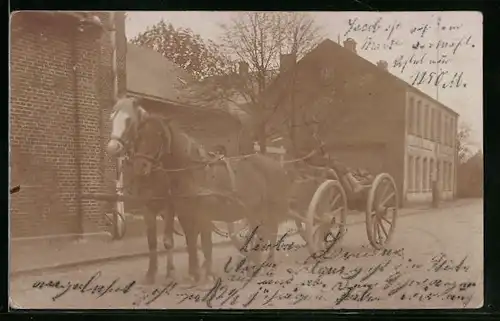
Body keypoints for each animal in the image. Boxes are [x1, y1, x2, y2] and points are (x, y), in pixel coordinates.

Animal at [107, 96, 292, 284]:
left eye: (159, 135)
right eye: (138, 136)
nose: (141, 166)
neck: (190, 170)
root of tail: (277, 165)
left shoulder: (200, 213)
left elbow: (204, 243)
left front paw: (205, 274)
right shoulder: (180, 212)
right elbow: (189, 241)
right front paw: (193, 273)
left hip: (269, 209)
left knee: (271, 232)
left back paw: (267, 263)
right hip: (254, 210)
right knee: (259, 232)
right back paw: (254, 263)